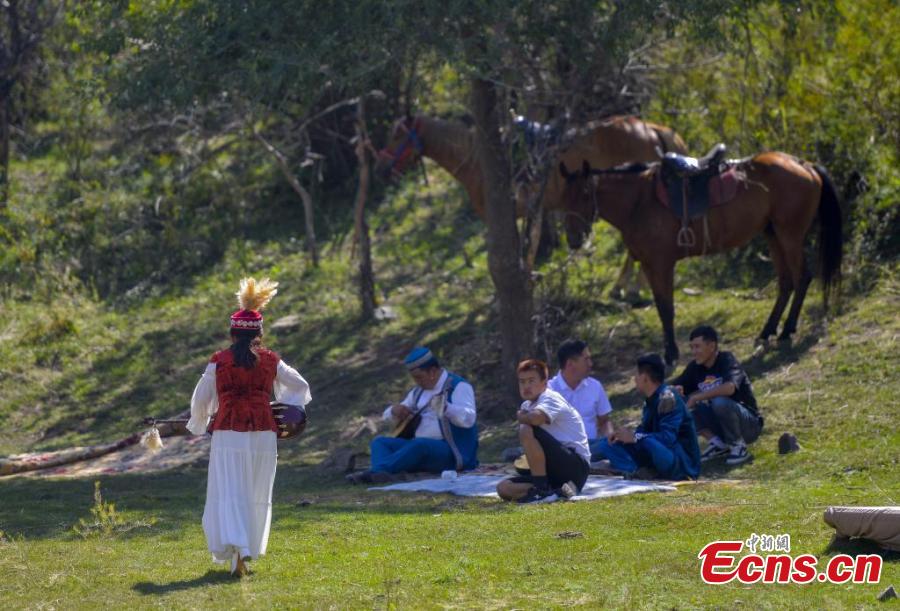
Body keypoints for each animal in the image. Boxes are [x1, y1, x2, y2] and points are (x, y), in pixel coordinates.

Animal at [564, 154, 844, 364]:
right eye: (564, 197)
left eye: (585, 194)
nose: (574, 239)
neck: (638, 201)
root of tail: (805, 165)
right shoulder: (648, 264)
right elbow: (661, 306)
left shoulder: (661, 263)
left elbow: (666, 308)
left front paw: (671, 354)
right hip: (772, 233)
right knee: (786, 282)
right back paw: (767, 333)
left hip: (789, 234)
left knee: (801, 277)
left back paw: (786, 331)